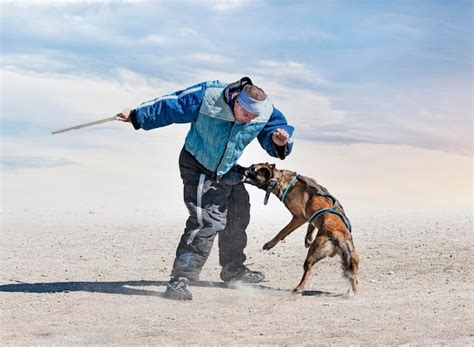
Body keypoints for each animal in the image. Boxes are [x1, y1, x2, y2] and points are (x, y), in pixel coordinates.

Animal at [237, 164, 360, 296]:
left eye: (252, 169)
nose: (238, 167)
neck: (280, 178)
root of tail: (339, 236)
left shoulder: (299, 217)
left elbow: (282, 231)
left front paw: (270, 243)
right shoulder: (309, 216)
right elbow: (311, 225)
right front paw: (308, 238)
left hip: (313, 254)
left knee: (307, 270)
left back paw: (299, 288)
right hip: (353, 258)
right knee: (353, 275)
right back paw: (351, 291)